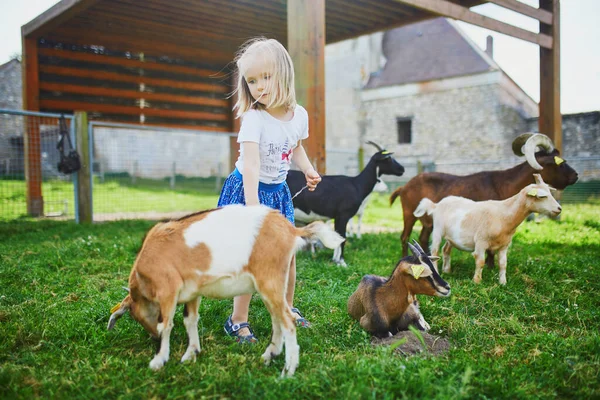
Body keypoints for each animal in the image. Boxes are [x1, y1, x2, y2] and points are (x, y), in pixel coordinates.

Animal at [392, 134, 580, 260]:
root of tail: (404, 186)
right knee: (404, 237)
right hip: (408, 213)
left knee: (423, 238)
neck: (504, 184)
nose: (576, 175)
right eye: (560, 162)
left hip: (428, 222)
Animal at [412, 174, 564, 284]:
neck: (504, 215)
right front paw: (476, 281)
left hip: (452, 237)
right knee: (435, 251)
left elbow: (503, 264)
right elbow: (480, 261)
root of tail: (436, 205)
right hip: (437, 230)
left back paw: (447, 271)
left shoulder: (504, 245)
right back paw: (437, 273)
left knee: (446, 250)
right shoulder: (481, 241)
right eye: (542, 196)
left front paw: (503, 283)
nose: (559, 209)